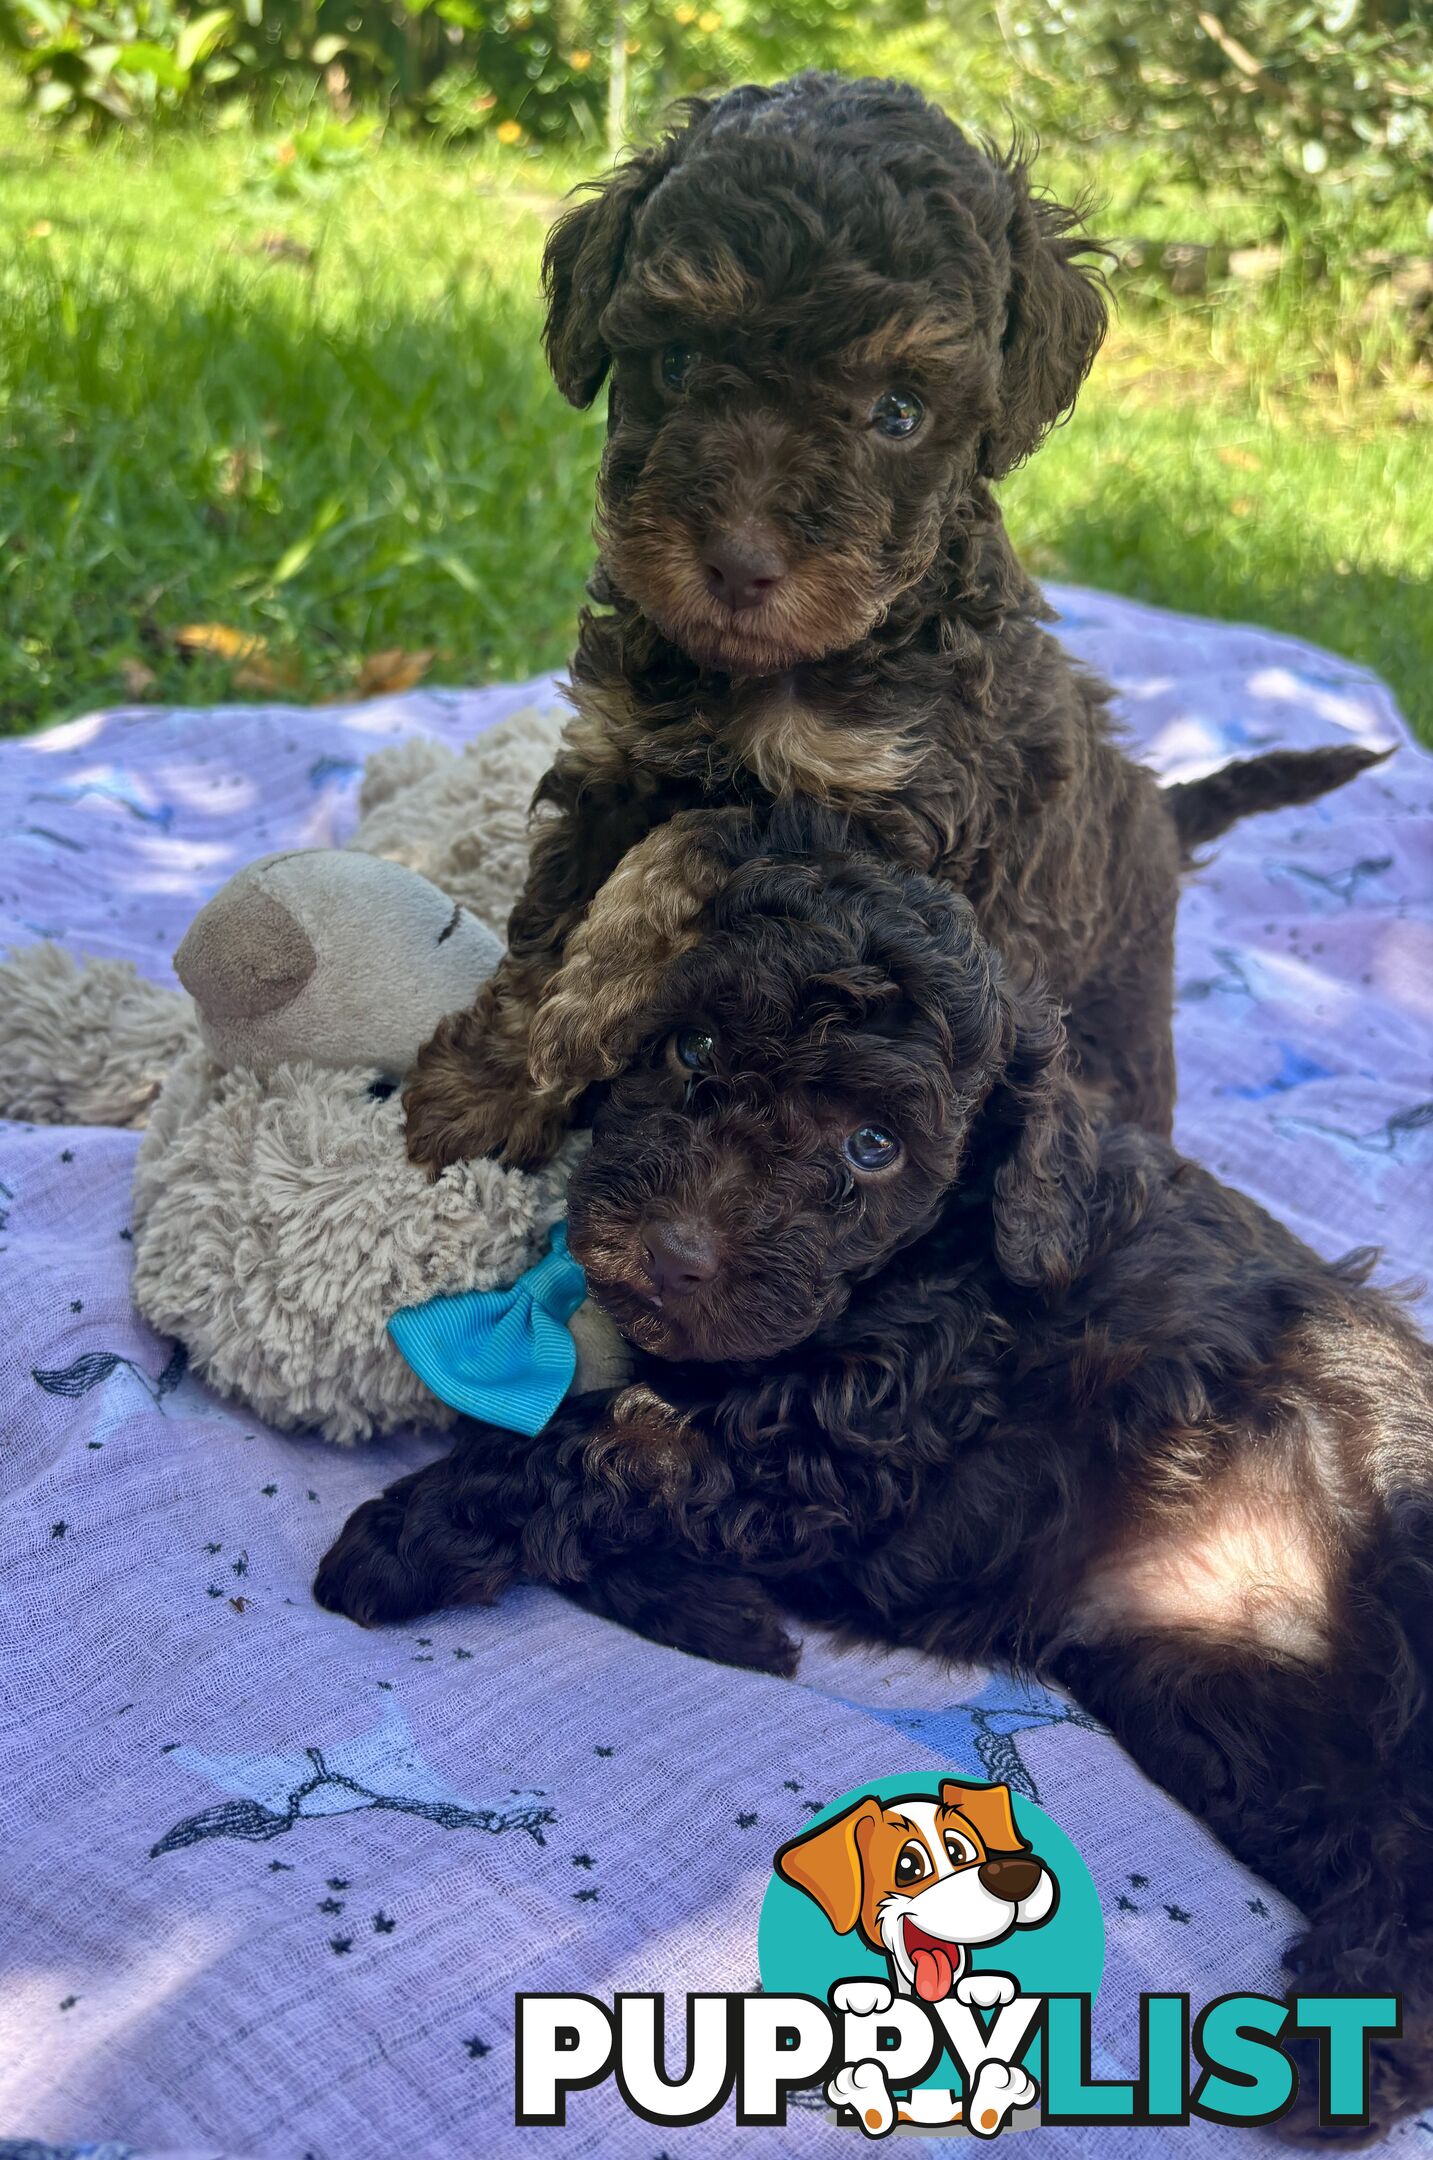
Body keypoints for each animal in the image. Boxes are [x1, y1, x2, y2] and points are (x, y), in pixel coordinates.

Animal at [322, 812, 1433, 2142]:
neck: (929, 1263)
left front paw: (406, 1536)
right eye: (691, 1046)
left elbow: (590, 1446)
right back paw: (1348, 2036)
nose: (673, 1254)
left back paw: (1332, 2053)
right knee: (1380, 1840)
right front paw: (710, 1613)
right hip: (1213, 1702)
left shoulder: (829, 1456)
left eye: (871, 1147)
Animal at [404, 71, 1383, 1183]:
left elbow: (698, 841)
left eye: (900, 411)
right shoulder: (618, 754)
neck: (769, 678)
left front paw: (578, 1013)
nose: (737, 561)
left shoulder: (900, 840)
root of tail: (1162, 811)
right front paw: (494, 1082)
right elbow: (555, 911)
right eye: (678, 361)